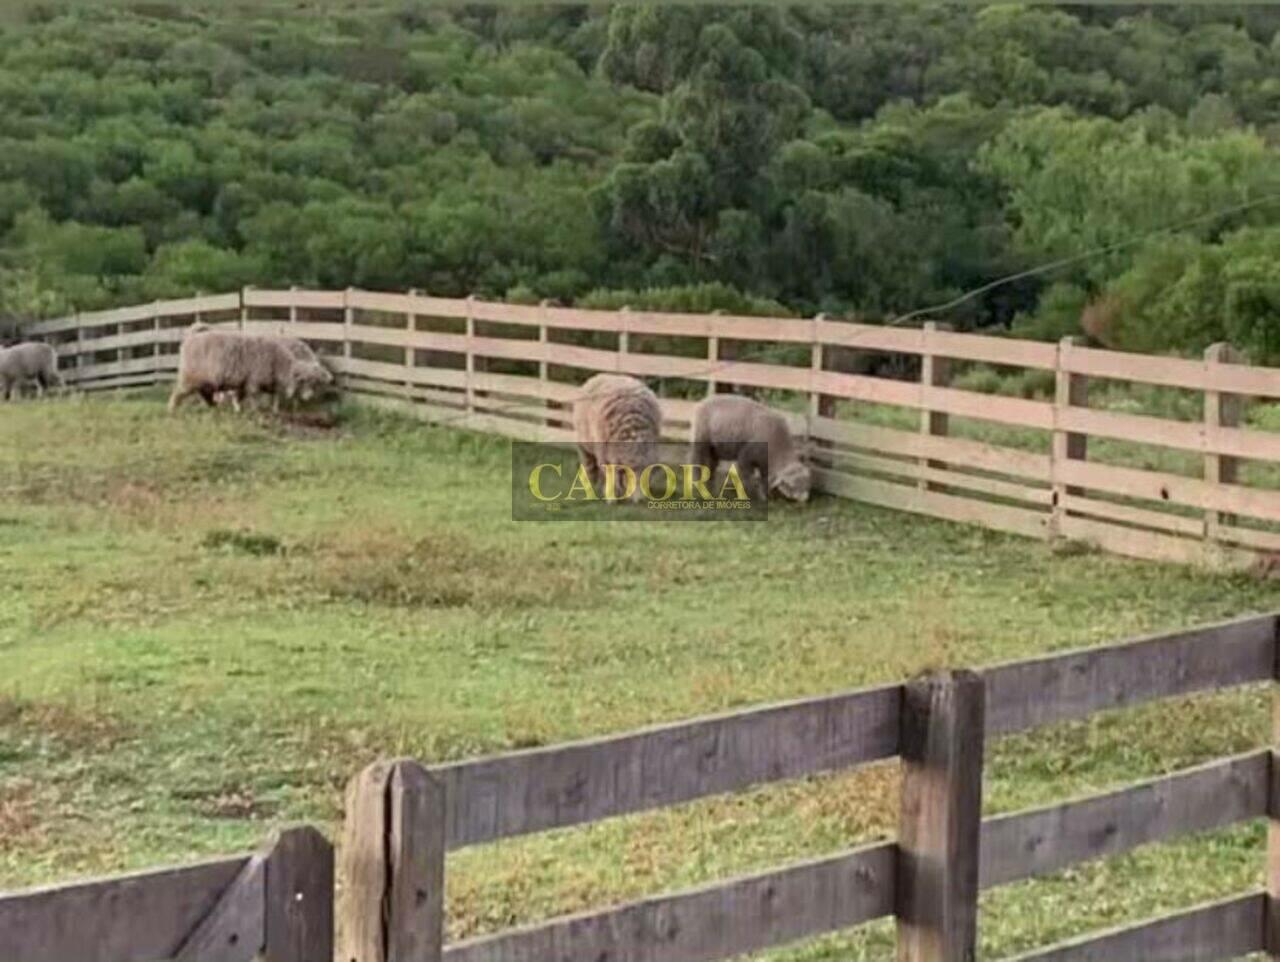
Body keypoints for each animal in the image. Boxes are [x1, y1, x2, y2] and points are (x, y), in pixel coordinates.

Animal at [167, 327, 332, 414]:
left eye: (315, 383)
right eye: (304, 381)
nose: (309, 397)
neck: (278, 362)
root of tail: (190, 338)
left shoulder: (251, 383)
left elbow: (267, 397)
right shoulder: (253, 382)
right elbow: (254, 398)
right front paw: (255, 411)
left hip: (205, 382)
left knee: (205, 394)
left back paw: (213, 408)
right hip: (189, 378)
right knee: (177, 393)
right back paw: (172, 410)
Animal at [576, 370, 665, 498]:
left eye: (645, 472)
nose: (640, 500)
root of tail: (601, 375)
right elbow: (611, 474)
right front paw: (612, 494)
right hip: (585, 446)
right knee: (590, 465)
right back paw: (592, 485)